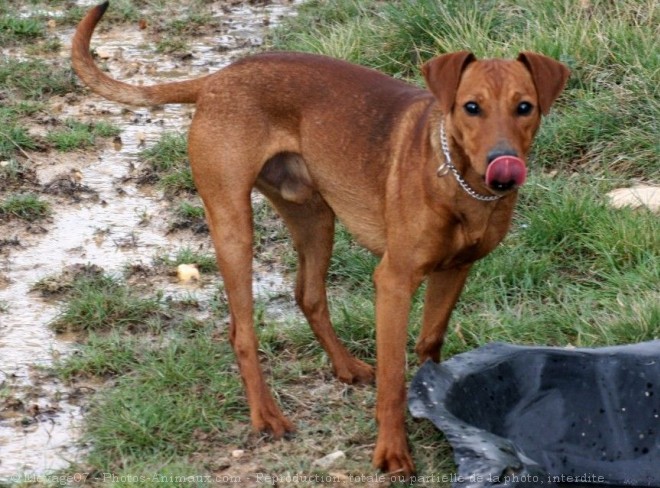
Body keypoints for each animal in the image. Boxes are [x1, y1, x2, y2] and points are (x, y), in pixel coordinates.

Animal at [71, 1, 568, 474]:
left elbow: (429, 345)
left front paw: (434, 405)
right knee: (242, 331)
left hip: (315, 218)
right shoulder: (394, 282)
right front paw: (392, 452)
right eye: (471, 107)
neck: (461, 183)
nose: (503, 168)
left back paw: (345, 366)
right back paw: (267, 416)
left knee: (308, 295)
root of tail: (218, 77)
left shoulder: (455, 271)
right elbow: (394, 378)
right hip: (234, 226)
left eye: (524, 107)